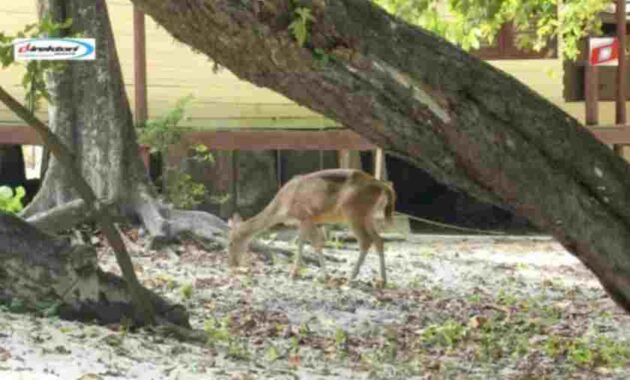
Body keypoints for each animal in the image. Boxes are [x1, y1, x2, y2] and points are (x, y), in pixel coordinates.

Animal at [226, 169, 396, 284]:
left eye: (231, 242)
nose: (232, 264)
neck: (282, 207)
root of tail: (381, 185)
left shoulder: (306, 215)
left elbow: (313, 244)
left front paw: (322, 275)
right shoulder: (304, 221)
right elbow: (304, 243)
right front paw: (296, 273)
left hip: (353, 212)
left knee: (366, 241)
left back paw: (351, 277)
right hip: (367, 216)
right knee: (379, 240)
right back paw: (383, 280)